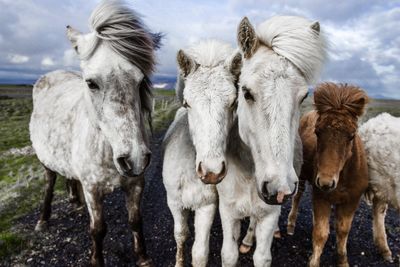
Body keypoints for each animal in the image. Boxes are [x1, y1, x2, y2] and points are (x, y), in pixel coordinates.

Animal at [162, 40, 241, 267]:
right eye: (187, 103)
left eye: (233, 103)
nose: (211, 171)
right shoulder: (174, 202)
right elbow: (180, 234)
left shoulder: (207, 205)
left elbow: (199, 252)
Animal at [216, 17, 328, 267]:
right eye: (246, 92)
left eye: (304, 97)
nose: (280, 187)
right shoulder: (227, 212)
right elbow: (228, 254)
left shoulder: (269, 213)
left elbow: (262, 255)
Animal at [288, 84, 368, 267]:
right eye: (317, 132)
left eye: (352, 135)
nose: (325, 182)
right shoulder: (321, 197)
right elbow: (321, 233)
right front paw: (314, 261)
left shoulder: (351, 201)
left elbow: (343, 231)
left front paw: (343, 261)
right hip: (301, 176)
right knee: (298, 197)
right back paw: (290, 225)